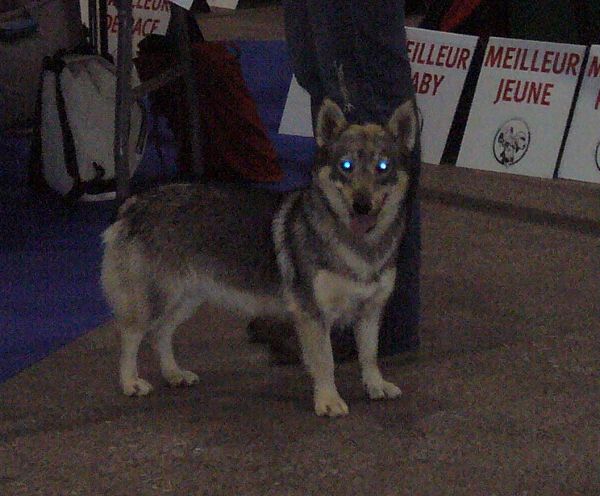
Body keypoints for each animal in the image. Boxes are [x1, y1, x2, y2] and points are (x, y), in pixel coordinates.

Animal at [101, 97, 418, 417]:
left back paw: (174, 374)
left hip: (185, 299)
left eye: (382, 167)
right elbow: (325, 362)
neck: (361, 245)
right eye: (346, 166)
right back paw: (131, 383)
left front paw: (375, 386)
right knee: (130, 336)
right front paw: (328, 401)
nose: (362, 205)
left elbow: (370, 356)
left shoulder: (370, 311)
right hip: (155, 301)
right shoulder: (313, 315)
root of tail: (134, 204)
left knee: (161, 334)